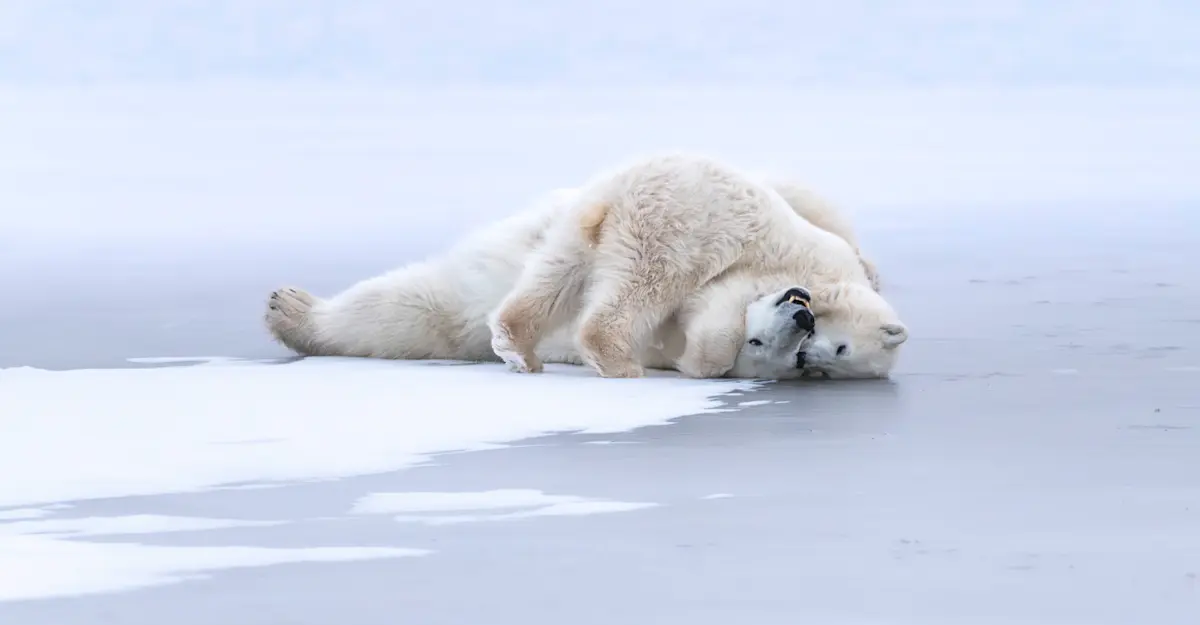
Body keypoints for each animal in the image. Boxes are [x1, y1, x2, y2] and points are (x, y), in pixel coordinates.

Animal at [487, 152, 908, 380]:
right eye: (840, 348)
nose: (804, 322)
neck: (843, 280)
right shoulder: (775, 271)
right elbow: (721, 305)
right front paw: (701, 361)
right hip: (676, 232)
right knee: (647, 284)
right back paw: (620, 361)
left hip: (584, 219)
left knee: (557, 273)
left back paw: (518, 349)